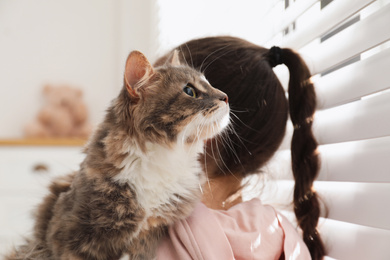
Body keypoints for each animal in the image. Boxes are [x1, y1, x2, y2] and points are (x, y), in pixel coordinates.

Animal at [6, 49, 230, 258]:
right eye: (189, 91)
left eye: (209, 84)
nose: (226, 97)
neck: (166, 157)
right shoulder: (74, 235)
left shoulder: (149, 236)